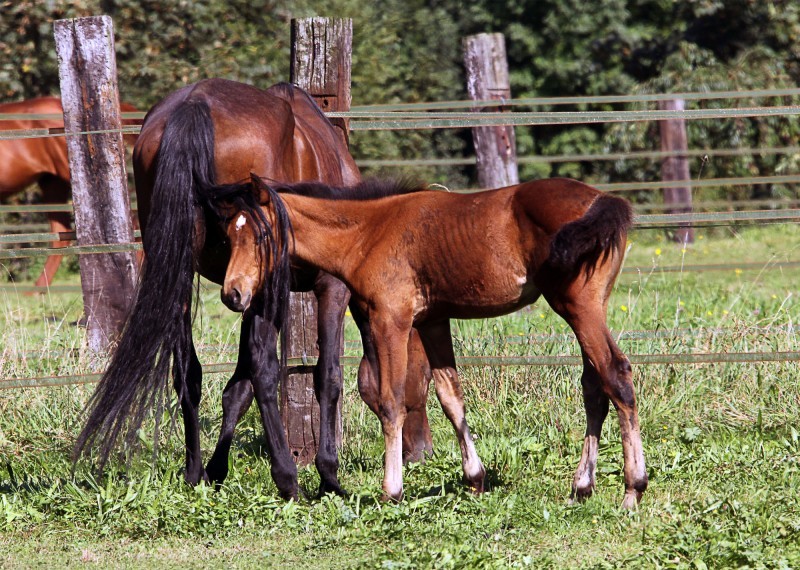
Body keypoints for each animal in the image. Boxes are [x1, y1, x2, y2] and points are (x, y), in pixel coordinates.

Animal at [75, 79, 434, 496]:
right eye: (424, 373)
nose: (421, 450)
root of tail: (195, 104)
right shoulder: (328, 288)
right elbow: (326, 376)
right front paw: (328, 476)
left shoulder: (246, 289)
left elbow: (237, 387)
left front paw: (217, 469)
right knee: (264, 369)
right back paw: (287, 477)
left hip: (182, 275)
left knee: (189, 374)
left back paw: (194, 473)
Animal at [222, 175, 648, 508]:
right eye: (228, 235)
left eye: (261, 235)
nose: (233, 294)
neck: (368, 233)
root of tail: (603, 200)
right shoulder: (433, 321)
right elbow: (450, 396)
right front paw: (475, 479)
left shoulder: (390, 320)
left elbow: (391, 400)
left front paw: (391, 491)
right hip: (586, 309)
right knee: (594, 388)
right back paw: (582, 486)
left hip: (578, 307)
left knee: (617, 376)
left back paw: (632, 489)